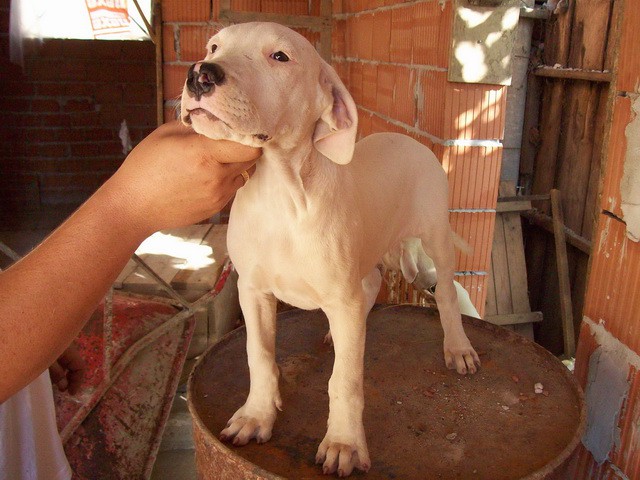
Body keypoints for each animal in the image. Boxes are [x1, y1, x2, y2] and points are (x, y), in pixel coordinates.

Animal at [180, 21, 480, 476]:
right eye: (213, 46)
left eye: (280, 56)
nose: (200, 73)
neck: (281, 194)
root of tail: (407, 139)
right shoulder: (253, 290)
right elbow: (258, 355)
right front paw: (256, 415)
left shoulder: (342, 299)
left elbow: (345, 380)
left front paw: (344, 444)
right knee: (371, 284)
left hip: (435, 234)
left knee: (444, 292)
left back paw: (458, 347)